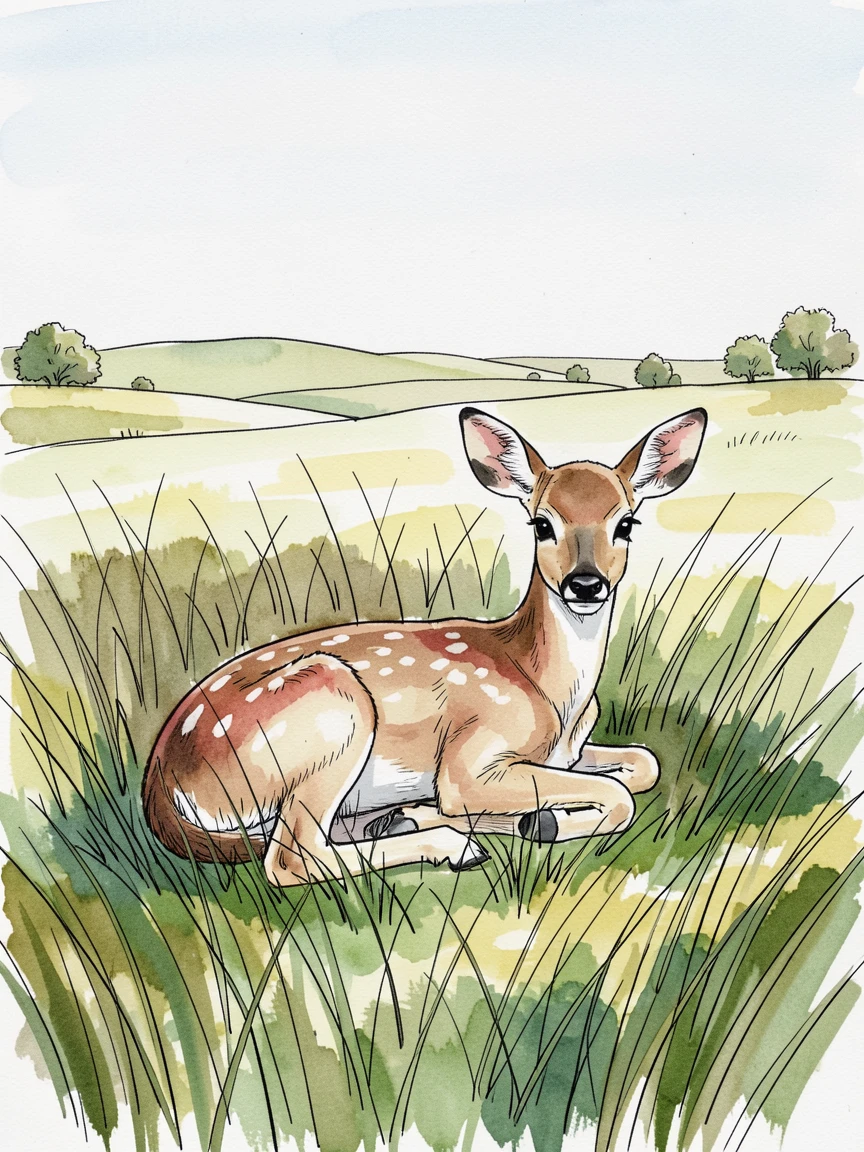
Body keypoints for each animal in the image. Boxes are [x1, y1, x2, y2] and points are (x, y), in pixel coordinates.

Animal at [142, 406, 707, 886]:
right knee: (291, 856)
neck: (549, 691)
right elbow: (617, 795)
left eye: (626, 523)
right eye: (541, 523)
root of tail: (159, 782)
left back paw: (406, 818)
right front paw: (540, 822)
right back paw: (455, 844)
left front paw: (532, 818)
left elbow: (644, 764)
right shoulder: (470, 759)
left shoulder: (567, 754)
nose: (585, 584)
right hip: (333, 707)